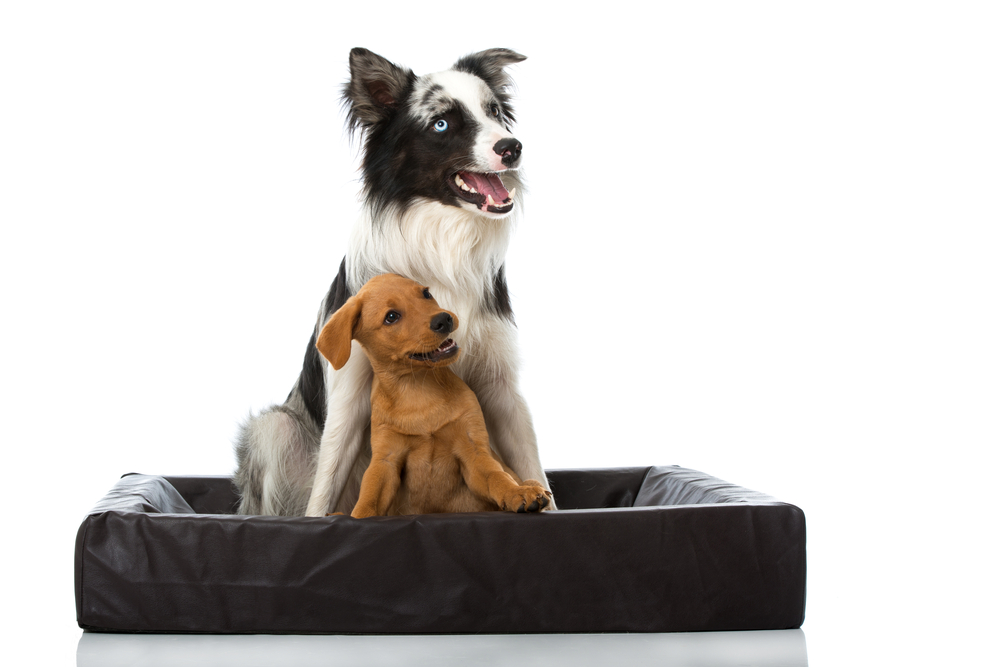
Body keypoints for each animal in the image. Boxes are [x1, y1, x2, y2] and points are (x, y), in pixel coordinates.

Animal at [316, 274, 552, 520]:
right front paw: (353, 518)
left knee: (529, 479)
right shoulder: (385, 460)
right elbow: (368, 501)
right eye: (391, 316)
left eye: (426, 293)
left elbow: (497, 477)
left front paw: (517, 493)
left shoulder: (475, 453)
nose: (444, 319)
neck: (418, 390)